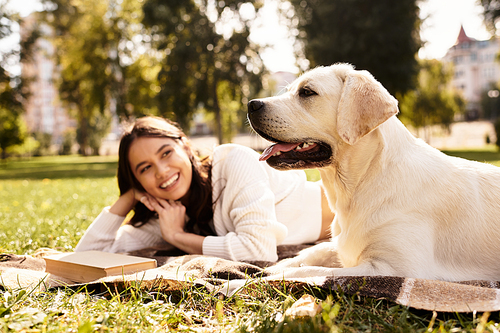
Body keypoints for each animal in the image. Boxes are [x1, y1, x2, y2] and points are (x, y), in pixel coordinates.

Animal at [248, 63, 500, 280]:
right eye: (289, 90)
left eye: (307, 92)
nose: (251, 104)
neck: (362, 182)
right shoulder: (345, 246)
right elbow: (313, 252)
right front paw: (270, 267)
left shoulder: (394, 268)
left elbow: (309, 271)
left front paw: (253, 280)